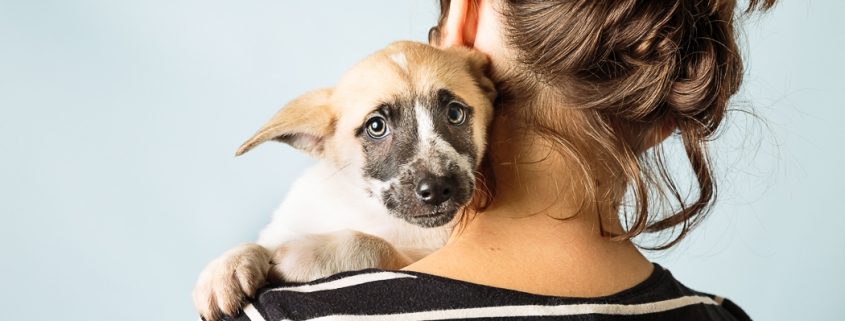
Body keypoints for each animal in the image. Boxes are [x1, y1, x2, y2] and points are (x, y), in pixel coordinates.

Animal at [192, 41, 498, 318]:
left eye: (455, 113)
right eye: (376, 126)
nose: (436, 189)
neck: (367, 208)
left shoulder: (426, 258)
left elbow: (377, 246)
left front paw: (306, 255)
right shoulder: (287, 223)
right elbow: (261, 242)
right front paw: (227, 268)